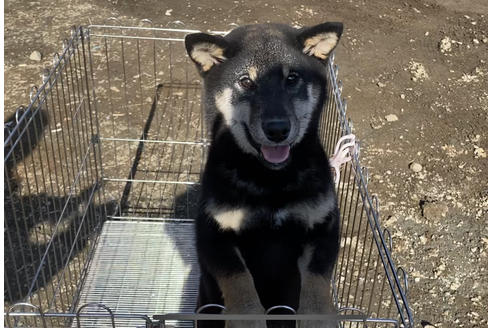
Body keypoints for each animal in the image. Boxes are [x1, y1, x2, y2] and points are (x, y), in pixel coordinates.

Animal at [186, 21, 344, 326]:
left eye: (292, 78)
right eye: (246, 81)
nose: (277, 129)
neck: (271, 181)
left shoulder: (324, 225)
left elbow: (316, 281)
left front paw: (318, 317)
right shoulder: (213, 234)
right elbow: (240, 281)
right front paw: (247, 319)